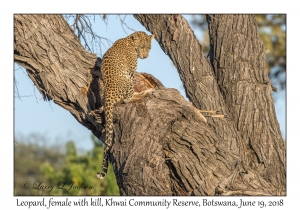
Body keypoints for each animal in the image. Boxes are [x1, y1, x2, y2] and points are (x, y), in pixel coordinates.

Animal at [96, 31, 155, 179]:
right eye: (142, 47)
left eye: (149, 48)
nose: (145, 56)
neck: (129, 40)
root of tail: (109, 92)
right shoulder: (131, 72)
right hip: (127, 81)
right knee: (128, 99)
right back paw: (146, 92)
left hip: (100, 81)